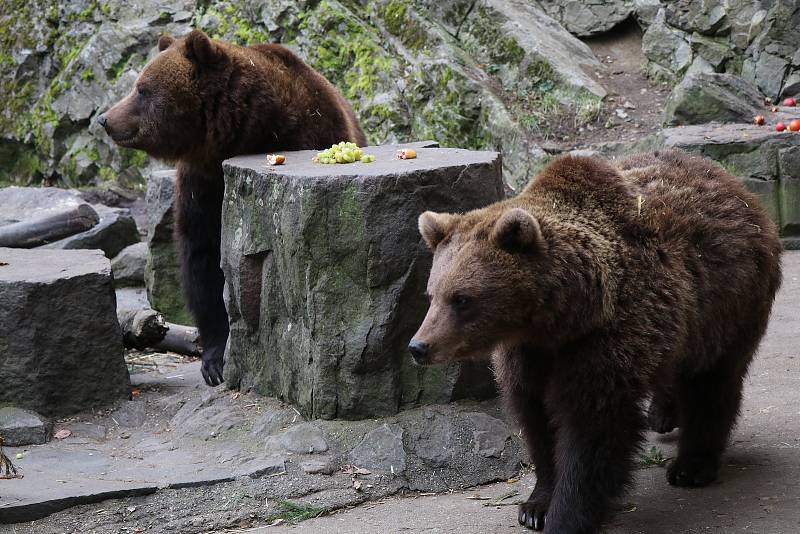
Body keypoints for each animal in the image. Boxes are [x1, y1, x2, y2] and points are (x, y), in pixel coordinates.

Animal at [97, 29, 368, 388]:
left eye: (142, 89)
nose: (105, 119)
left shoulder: (309, 134)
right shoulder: (203, 183)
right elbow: (204, 261)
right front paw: (215, 359)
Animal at [410, 152, 784, 534]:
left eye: (462, 299)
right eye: (432, 294)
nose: (419, 346)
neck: (561, 315)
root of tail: (735, 185)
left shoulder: (607, 337)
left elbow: (592, 430)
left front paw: (566, 516)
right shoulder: (531, 353)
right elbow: (536, 415)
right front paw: (536, 505)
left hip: (725, 304)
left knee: (711, 383)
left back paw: (691, 466)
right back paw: (663, 413)